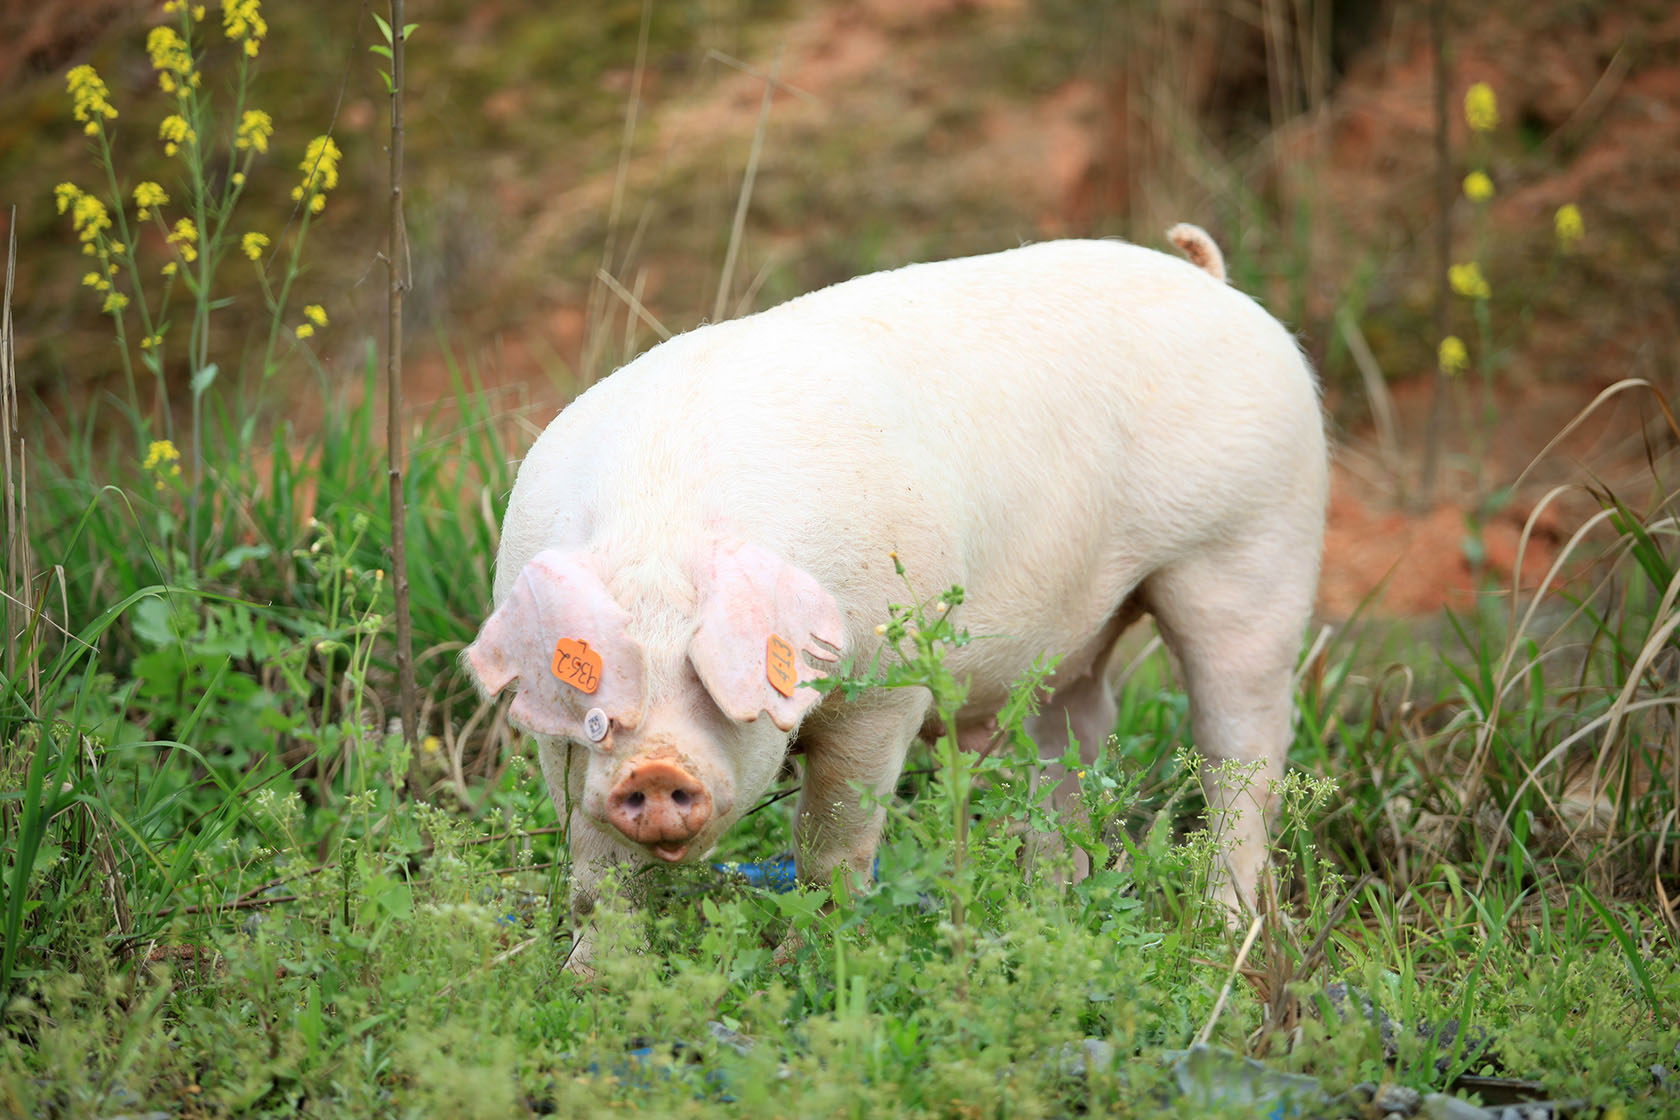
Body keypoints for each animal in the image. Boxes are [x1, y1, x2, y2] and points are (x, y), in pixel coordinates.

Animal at [463, 228, 1323, 967]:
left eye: (719, 689)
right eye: (597, 705)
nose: (651, 773)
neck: (662, 531)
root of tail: (1215, 283)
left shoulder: (882, 688)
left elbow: (832, 844)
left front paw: (804, 962)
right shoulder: (558, 752)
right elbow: (597, 873)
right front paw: (593, 981)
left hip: (1254, 548)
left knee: (1242, 748)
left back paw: (1221, 932)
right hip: (1076, 637)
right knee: (1071, 744)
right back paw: (1048, 914)